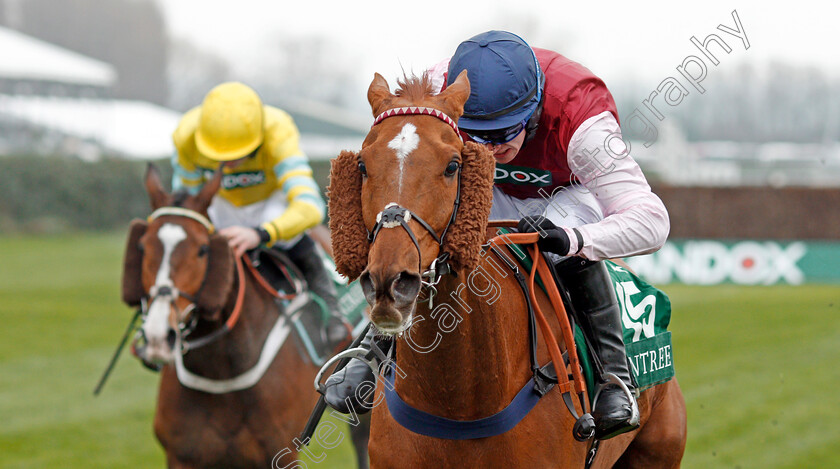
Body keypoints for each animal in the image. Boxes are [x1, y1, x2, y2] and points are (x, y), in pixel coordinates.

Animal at [122, 166, 368, 466]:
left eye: (203, 249)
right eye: (142, 247)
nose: (159, 336)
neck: (222, 372)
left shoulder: (282, 454)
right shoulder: (182, 456)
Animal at [324, 71, 684, 466]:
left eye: (453, 165)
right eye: (362, 165)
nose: (390, 283)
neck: (459, 402)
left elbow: (648, 213)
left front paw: (553, 235)